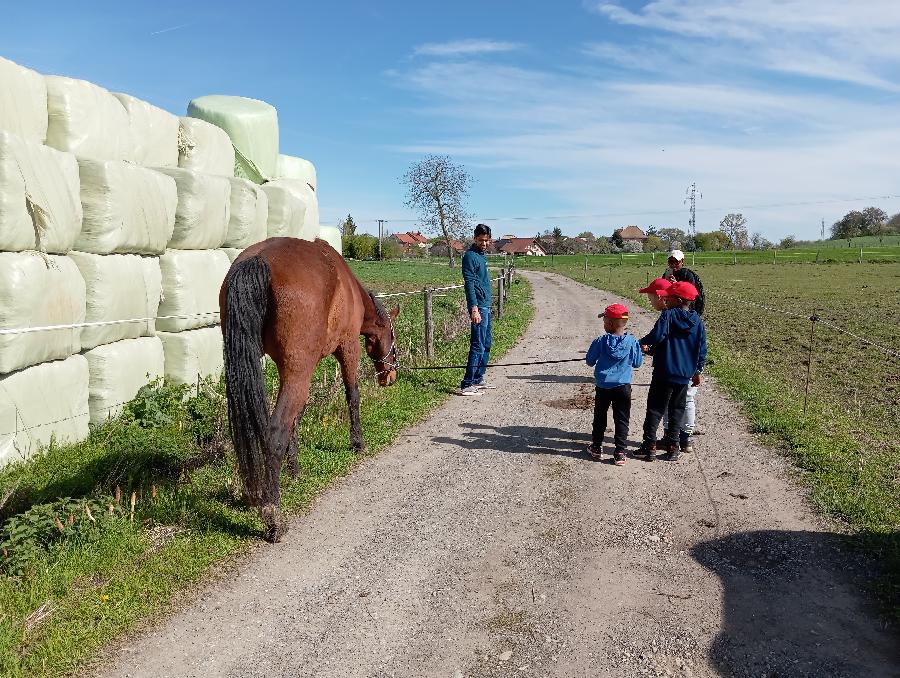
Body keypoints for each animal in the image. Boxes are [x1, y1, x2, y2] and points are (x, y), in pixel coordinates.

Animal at [218, 236, 398, 544]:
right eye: (393, 339)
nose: (390, 376)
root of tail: (257, 259)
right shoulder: (347, 348)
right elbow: (352, 394)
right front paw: (358, 442)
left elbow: (298, 416)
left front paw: (294, 469)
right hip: (299, 370)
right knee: (274, 431)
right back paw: (273, 517)